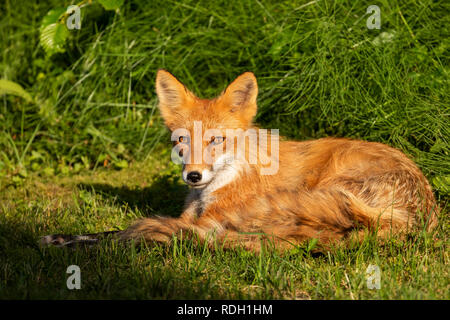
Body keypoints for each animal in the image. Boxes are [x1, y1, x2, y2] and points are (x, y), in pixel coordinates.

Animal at [41, 71, 436, 251]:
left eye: (216, 140)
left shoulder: (205, 221)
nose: (193, 177)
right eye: (182, 140)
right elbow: (104, 231)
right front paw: (60, 237)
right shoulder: (194, 217)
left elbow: (116, 233)